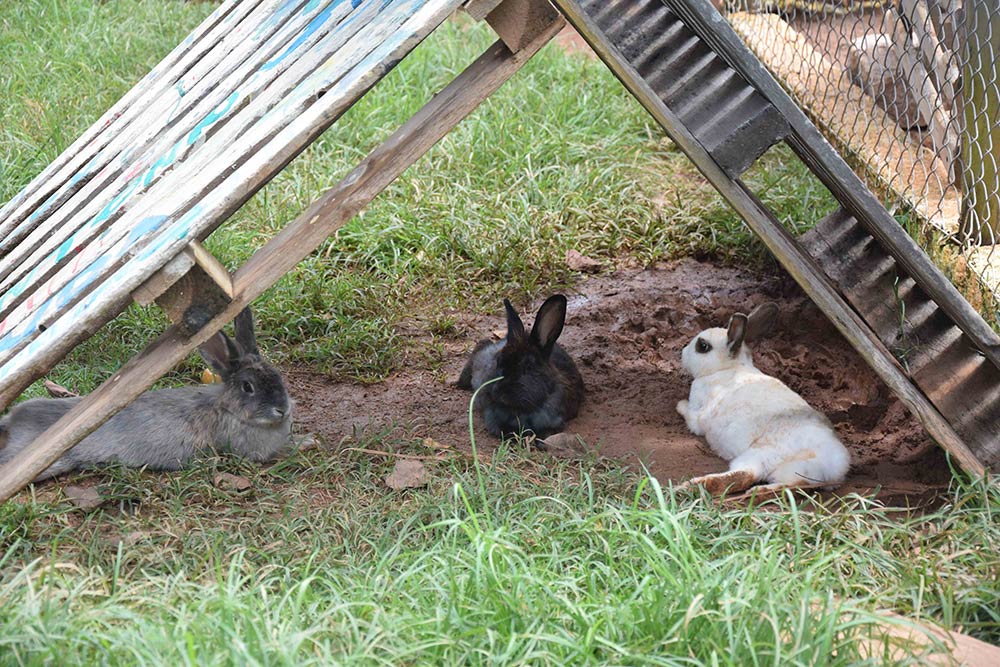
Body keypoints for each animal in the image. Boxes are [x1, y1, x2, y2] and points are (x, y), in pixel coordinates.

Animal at [676, 304, 848, 496]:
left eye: (703, 346)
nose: (682, 352)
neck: (727, 368)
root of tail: (830, 468)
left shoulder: (697, 414)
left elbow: (690, 416)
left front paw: (680, 404)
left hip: (761, 454)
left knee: (745, 476)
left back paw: (688, 486)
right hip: (797, 469)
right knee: (795, 485)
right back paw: (762, 491)